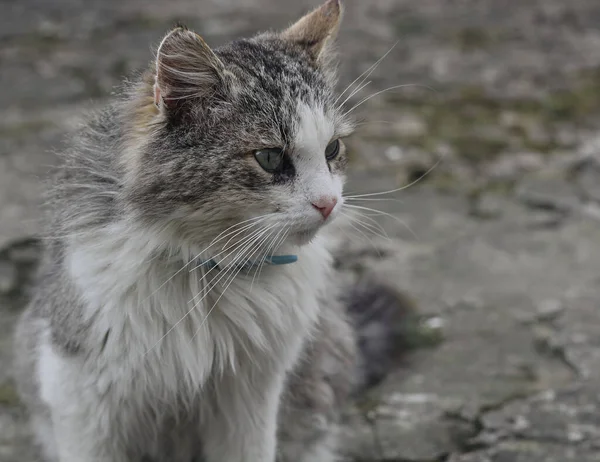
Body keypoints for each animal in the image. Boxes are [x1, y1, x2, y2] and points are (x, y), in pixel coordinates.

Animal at [12, 1, 408, 460]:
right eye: (270, 158)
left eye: (332, 150)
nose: (328, 204)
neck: (207, 274)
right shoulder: (79, 393)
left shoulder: (250, 395)